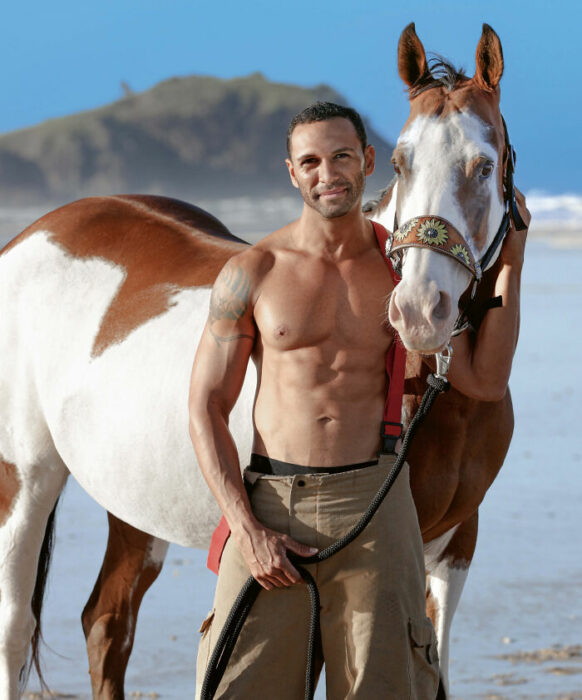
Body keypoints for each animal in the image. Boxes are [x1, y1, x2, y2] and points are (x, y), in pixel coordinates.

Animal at [0, 21, 524, 700]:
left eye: (483, 164)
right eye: (402, 161)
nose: (418, 310)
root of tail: (31, 235)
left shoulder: (455, 544)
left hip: (132, 501)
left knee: (107, 623)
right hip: (24, 478)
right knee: (16, 629)